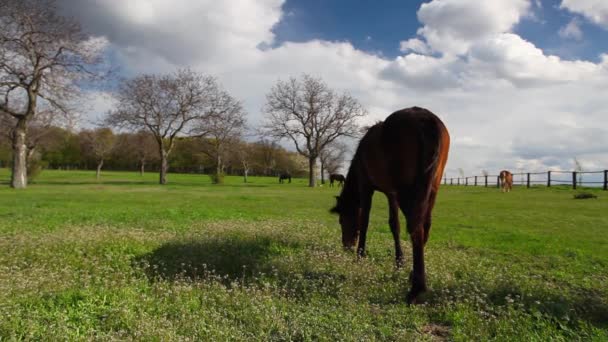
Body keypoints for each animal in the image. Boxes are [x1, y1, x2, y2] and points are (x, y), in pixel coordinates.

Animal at [330, 107, 448, 304]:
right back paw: (413, 276)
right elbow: (395, 226)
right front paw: (399, 262)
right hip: (431, 189)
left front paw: (360, 255)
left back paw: (417, 289)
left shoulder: (366, 187)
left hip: (409, 193)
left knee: (416, 229)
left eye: (341, 220)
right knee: (425, 226)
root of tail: (424, 119)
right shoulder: (391, 194)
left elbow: (365, 221)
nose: (346, 246)